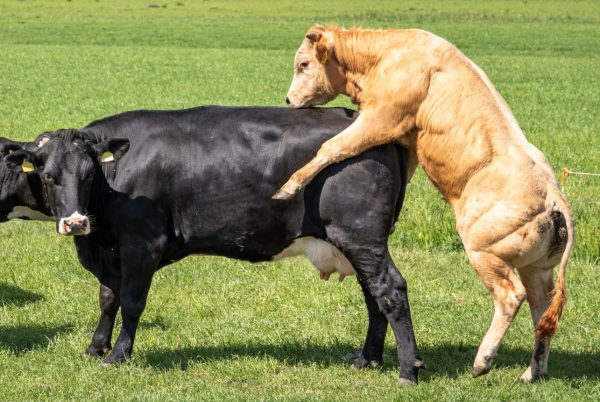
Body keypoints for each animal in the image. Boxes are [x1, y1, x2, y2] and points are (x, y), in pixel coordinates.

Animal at [5, 106, 426, 384]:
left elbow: (132, 302)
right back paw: (368, 359)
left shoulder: (143, 244)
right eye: (48, 174)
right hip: (357, 243)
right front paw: (96, 347)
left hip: (360, 236)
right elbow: (108, 298)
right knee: (373, 295)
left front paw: (120, 354)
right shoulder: (110, 250)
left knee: (390, 290)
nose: (76, 222)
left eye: (89, 174)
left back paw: (408, 369)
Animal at [274, 23, 576, 382]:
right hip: (536, 268)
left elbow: (332, 148)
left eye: (304, 64)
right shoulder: (408, 142)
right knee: (542, 311)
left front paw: (288, 186)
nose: (288, 100)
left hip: (483, 252)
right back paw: (533, 371)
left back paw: (483, 360)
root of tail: (554, 194)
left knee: (510, 296)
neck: (388, 55)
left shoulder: (381, 118)